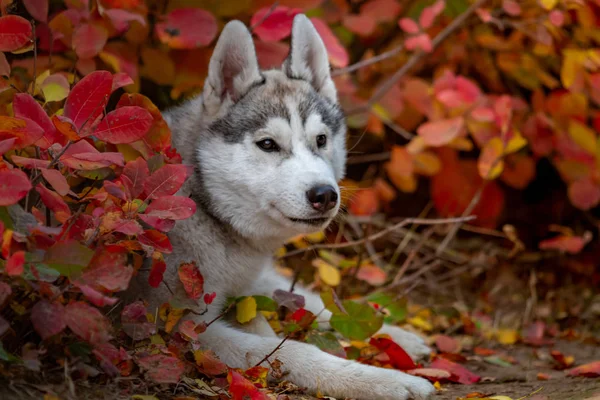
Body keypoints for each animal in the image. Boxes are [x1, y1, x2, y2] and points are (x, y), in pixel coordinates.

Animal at [134, 14, 436, 398]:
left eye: (321, 140)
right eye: (268, 144)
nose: (325, 194)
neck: (205, 206)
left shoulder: (251, 280)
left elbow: (313, 302)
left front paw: (393, 335)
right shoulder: (179, 326)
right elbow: (291, 350)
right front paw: (385, 380)